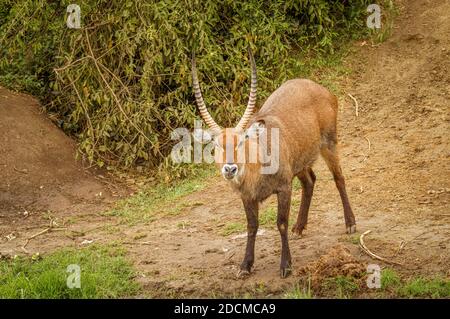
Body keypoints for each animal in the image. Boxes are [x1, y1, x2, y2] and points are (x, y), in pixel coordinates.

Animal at [192, 49, 356, 278]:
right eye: (216, 144)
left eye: (242, 140)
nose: (230, 168)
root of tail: (319, 87)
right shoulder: (247, 197)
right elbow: (252, 226)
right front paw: (245, 265)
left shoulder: (284, 188)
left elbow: (281, 224)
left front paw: (285, 265)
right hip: (299, 161)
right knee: (310, 181)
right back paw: (299, 227)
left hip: (329, 143)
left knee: (339, 177)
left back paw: (350, 224)